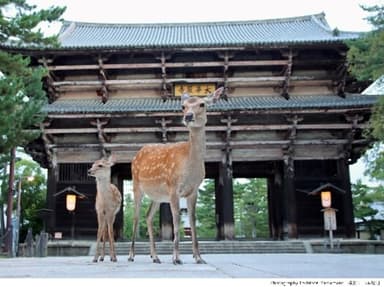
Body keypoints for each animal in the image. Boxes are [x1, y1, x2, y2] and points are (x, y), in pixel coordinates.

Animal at [129, 86, 225, 264]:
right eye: (183, 106)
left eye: (202, 104)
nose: (188, 116)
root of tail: (137, 154)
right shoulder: (173, 187)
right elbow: (176, 220)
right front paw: (176, 258)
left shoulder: (193, 190)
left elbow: (193, 220)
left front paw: (199, 257)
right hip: (137, 185)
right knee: (136, 216)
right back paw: (131, 255)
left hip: (158, 196)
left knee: (148, 216)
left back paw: (155, 257)